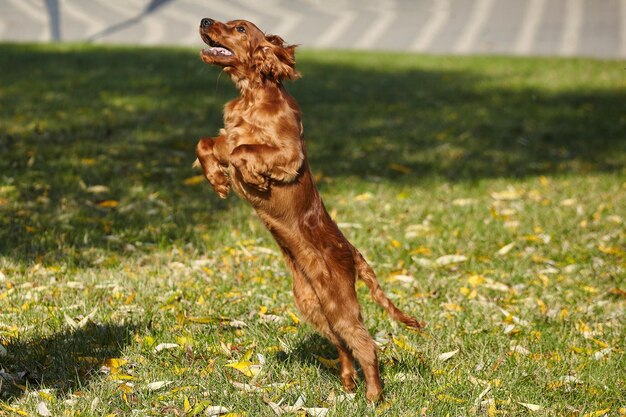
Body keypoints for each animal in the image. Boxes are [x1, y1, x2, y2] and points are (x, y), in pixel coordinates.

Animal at [193, 17, 422, 400]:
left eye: (240, 28)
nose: (204, 20)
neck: (252, 96)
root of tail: (352, 252)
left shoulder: (288, 154)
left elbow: (244, 152)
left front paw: (252, 179)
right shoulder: (228, 137)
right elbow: (207, 142)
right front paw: (218, 180)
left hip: (340, 303)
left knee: (366, 345)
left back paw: (374, 397)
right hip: (313, 304)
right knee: (344, 344)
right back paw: (347, 383)